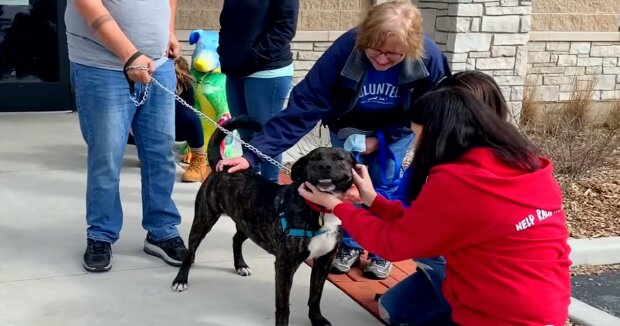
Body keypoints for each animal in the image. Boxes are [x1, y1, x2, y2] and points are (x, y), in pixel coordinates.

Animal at [172, 117, 356, 326]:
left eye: (340, 159)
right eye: (314, 159)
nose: (324, 167)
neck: (318, 209)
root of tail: (223, 166)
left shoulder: (324, 261)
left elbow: (316, 295)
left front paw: (316, 318)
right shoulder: (285, 266)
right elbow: (284, 306)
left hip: (249, 224)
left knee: (236, 239)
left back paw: (241, 265)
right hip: (204, 219)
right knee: (190, 251)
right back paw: (181, 279)